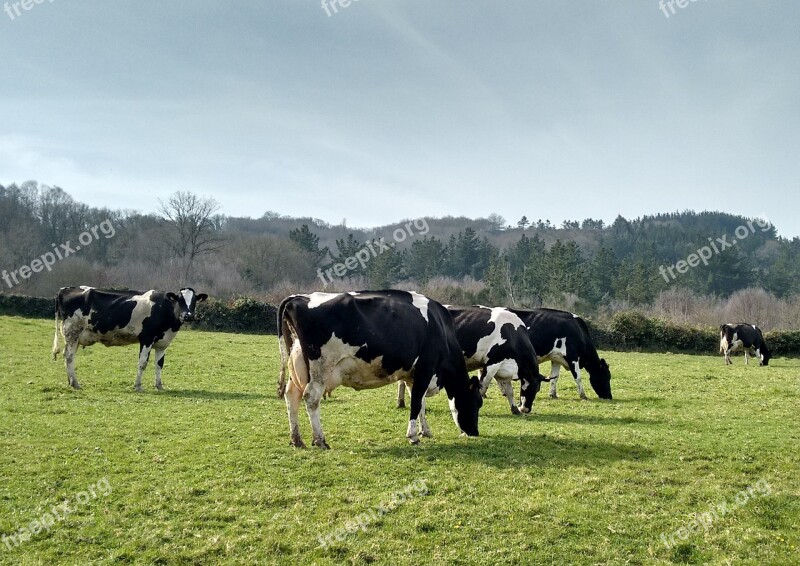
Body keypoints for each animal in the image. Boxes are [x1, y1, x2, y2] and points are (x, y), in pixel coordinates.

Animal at [50, 286, 206, 392]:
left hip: (74, 337)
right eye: (180, 300)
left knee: (67, 356)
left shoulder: (162, 343)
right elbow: (142, 363)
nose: (189, 316)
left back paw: (70, 381)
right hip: (72, 332)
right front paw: (138, 386)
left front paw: (159, 385)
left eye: (194, 301)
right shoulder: (146, 339)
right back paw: (75, 383)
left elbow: (159, 364)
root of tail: (64, 289)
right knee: (69, 357)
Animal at [278, 290, 484, 450]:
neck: (441, 328)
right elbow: (416, 402)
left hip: (298, 366)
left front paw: (425, 431)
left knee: (291, 396)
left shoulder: (413, 375)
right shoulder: (426, 368)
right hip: (321, 368)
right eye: (477, 403)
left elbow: (420, 404)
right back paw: (320, 440)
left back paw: (297, 440)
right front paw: (413, 436)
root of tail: (298, 297)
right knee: (311, 398)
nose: (475, 432)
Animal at [396, 306, 548, 418]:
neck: (512, 332)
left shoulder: (503, 369)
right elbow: (483, 386)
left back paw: (401, 403)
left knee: (402, 381)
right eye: (532, 388)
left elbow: (509, 390)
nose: (526, 409)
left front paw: (515, 409)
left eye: (538, 389)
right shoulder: (492, 363)